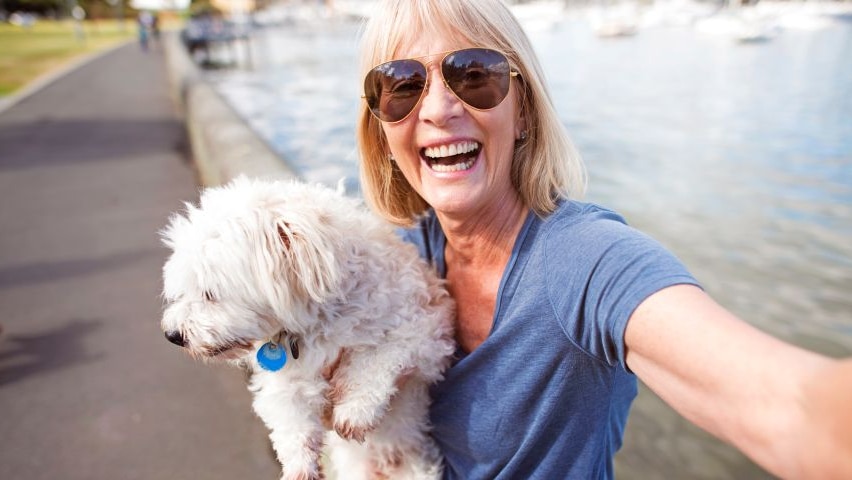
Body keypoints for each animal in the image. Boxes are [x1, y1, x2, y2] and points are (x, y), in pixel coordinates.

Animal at [157, 177, 456, 480]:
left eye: (209, 294)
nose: (173, 335)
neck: (321, 321)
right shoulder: (286, 379)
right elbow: (291, 419)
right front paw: (299, 464)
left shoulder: (428, 332)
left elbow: (377, 359)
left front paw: (355, 409)